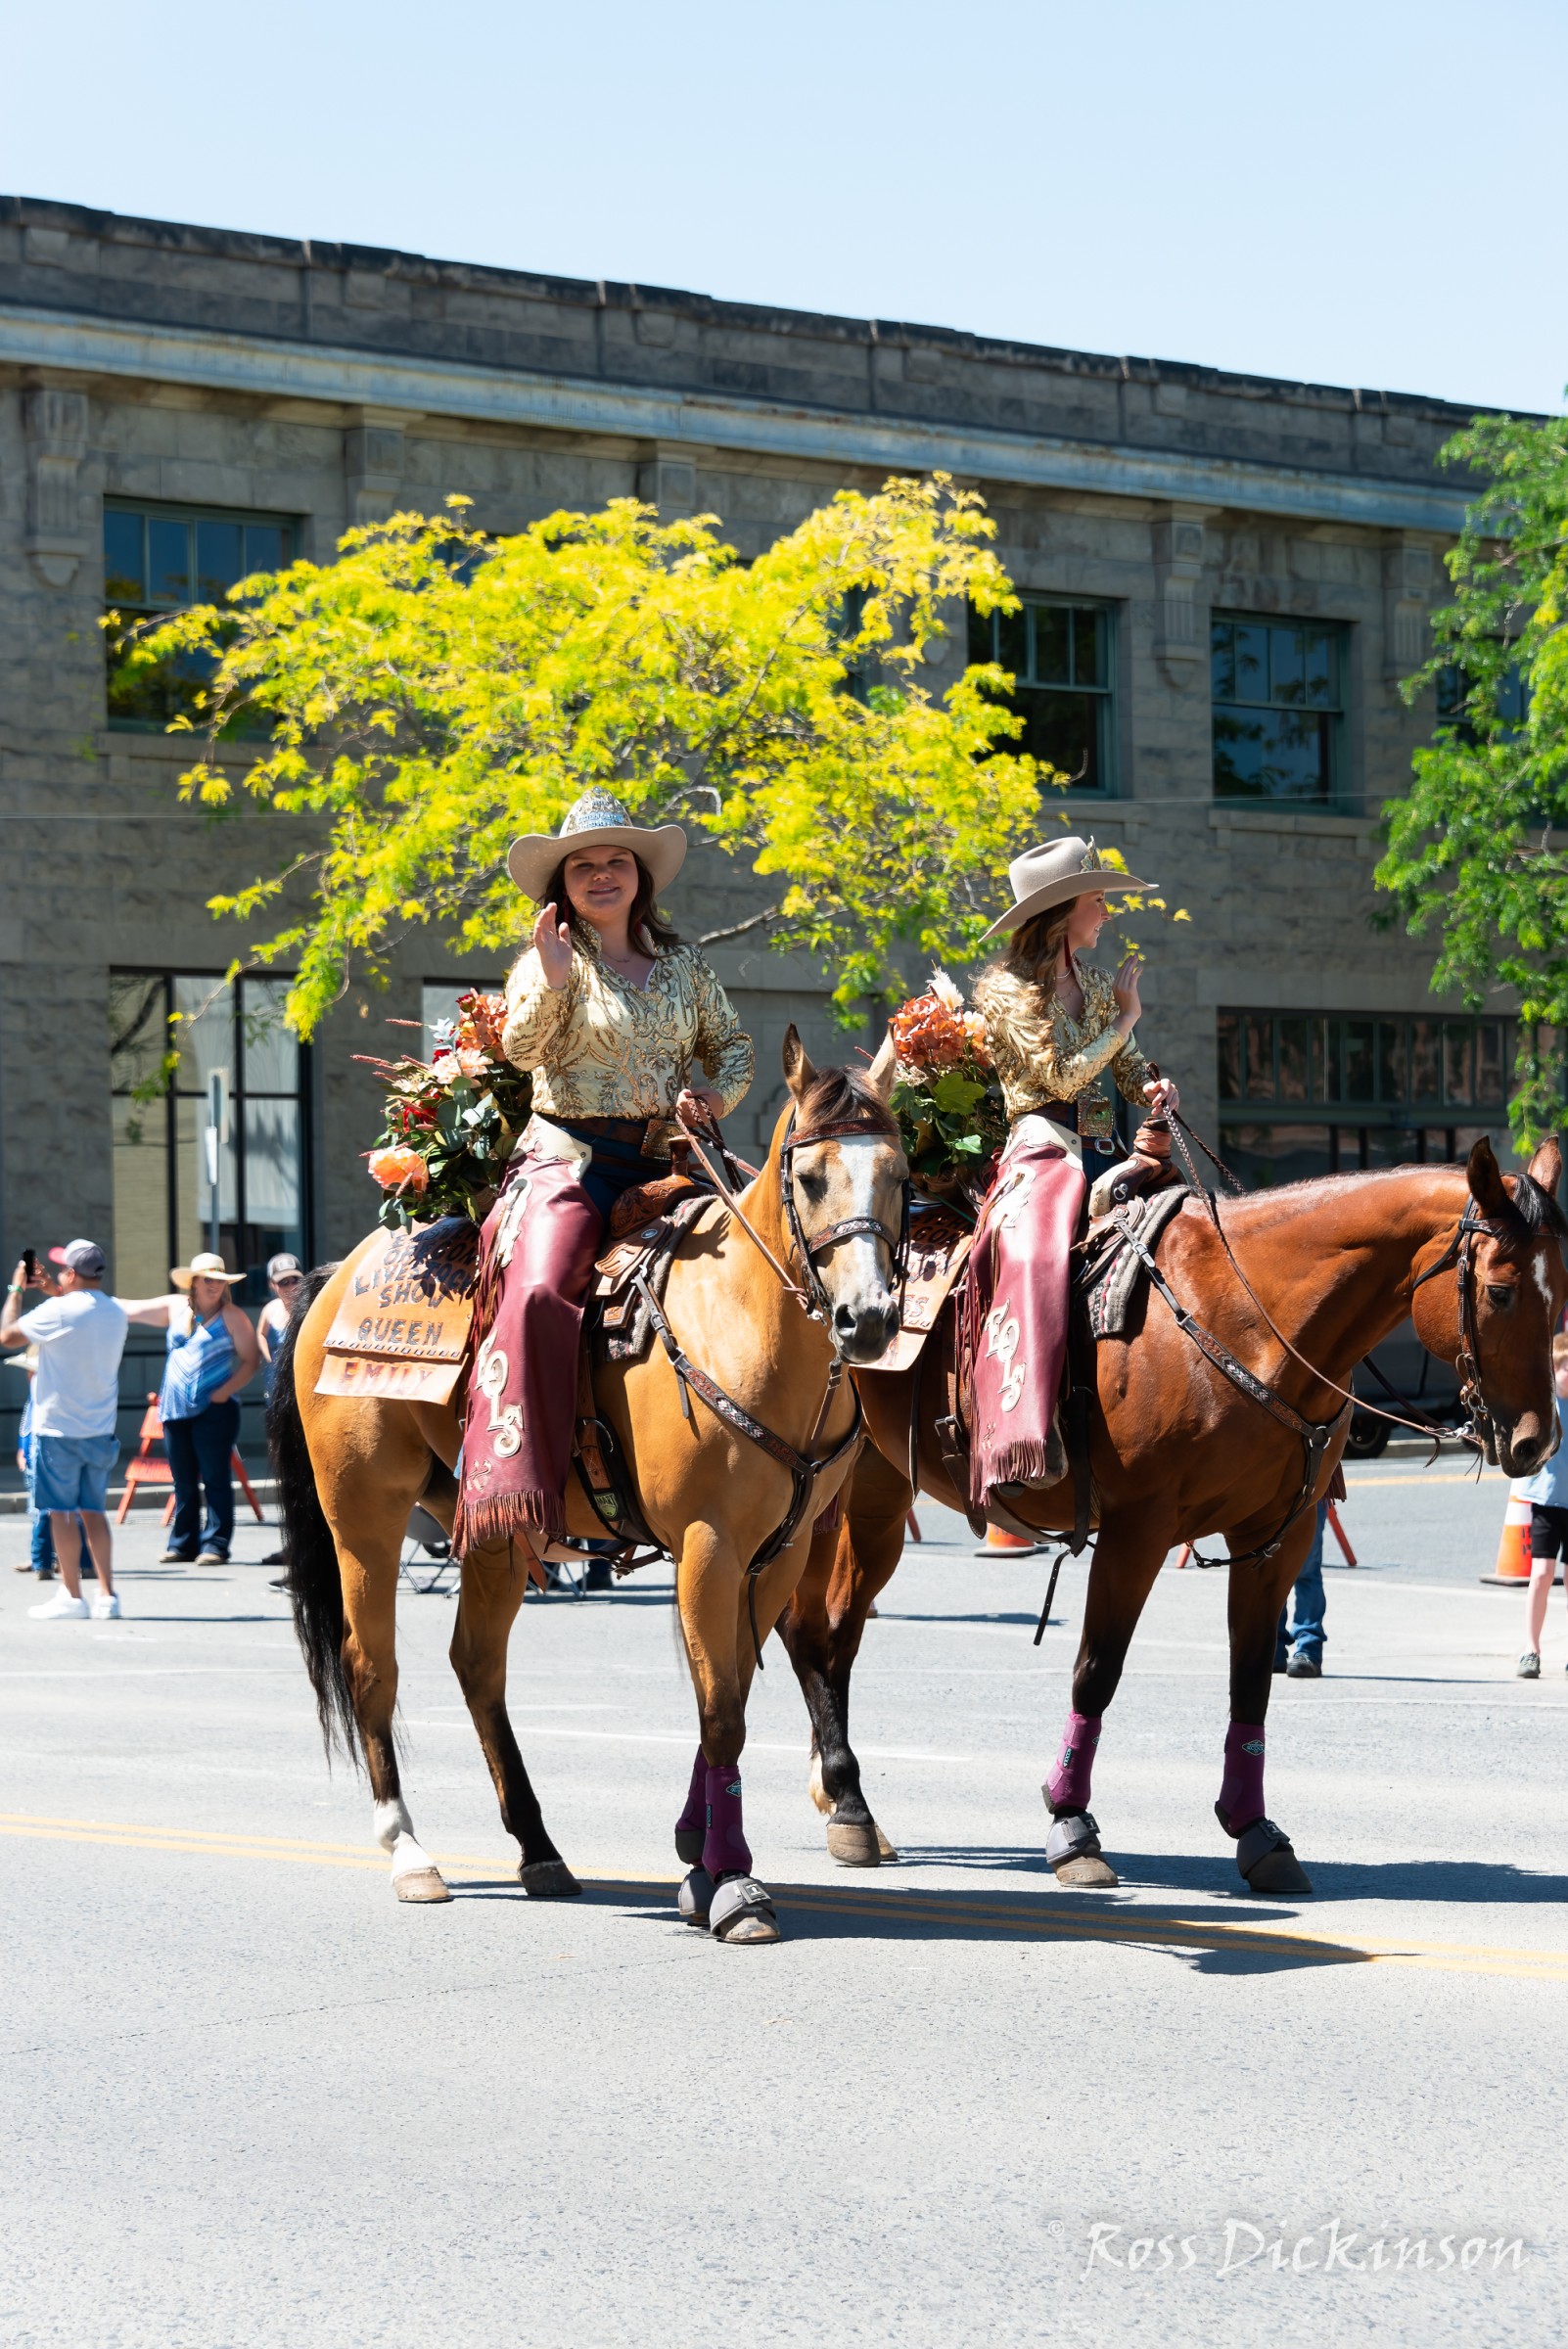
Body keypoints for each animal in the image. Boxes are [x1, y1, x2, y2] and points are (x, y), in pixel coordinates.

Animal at [269, 1029, 905, 1945]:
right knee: (370, 1667)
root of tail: (334, 1277)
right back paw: (410, 1852)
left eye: (900, 1174)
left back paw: (538, 1849)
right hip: (364, 1516)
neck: (746, 1323)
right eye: (811, 1176)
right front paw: (731, 1883)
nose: (870, 1320)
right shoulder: (709, 1547)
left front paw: (694, 1854)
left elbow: (734, 1694)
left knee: (477, 1665)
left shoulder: (777, 1554)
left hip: (493, 1525)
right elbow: (722, 1708)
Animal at [779, 1131, 1558, 1888]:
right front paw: (1071, 1825)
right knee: (812, 1628)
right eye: (1500, 1291)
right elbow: (1097, 1671)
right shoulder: (1138, 1532)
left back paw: (844, 1800)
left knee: (833, 1630)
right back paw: (849, 1802)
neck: (1246, 1319)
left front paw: (1255, 1830)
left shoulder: (1275, 1538)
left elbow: (1251, 1680)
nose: (1536, 1441)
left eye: (1563, 1294)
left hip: (875, 1494)